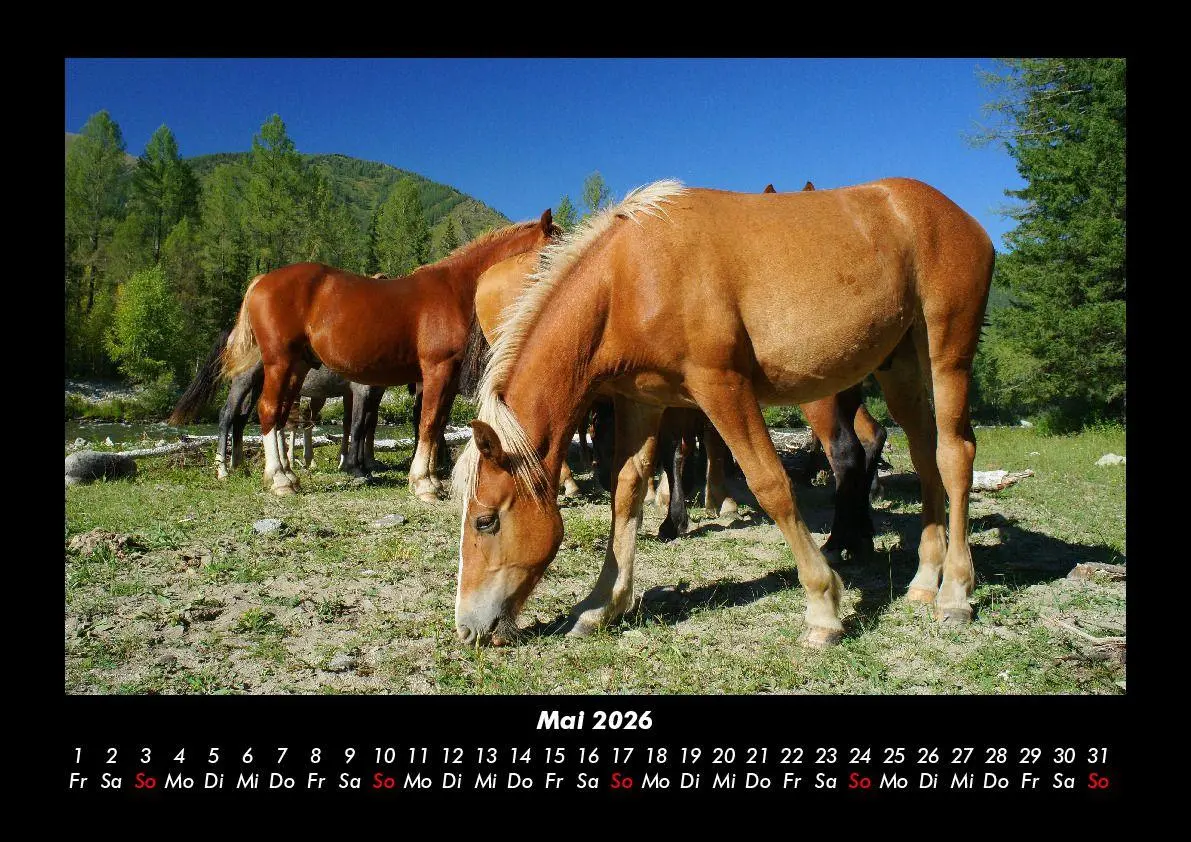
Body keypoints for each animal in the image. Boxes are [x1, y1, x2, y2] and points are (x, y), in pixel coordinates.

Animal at [220, 211, 559, 500]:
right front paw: (423, 484)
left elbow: (438, 423)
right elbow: (428, 422)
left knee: (279, 414)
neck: (454, 289)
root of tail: (262, 280)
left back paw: (287, 475)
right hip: (279, 363)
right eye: (551, 251)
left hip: (297, 367)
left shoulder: (447, 377)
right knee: (266, 410)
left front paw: (432, 479)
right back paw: (277, 478)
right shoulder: (437, 369)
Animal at [452, 179, 994, 649]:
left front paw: (823, 608)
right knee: (925, 458)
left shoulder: (722, 388)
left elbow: (770, 484)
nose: (467, 628)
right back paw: (924, 579)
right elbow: (626, 492)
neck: (631, 275)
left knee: (955, 456)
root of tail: (955, 214)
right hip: (901, 368)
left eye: (485, 522)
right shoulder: (642, 402)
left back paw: (955, 593)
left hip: (947, 356)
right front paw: (602, 604)